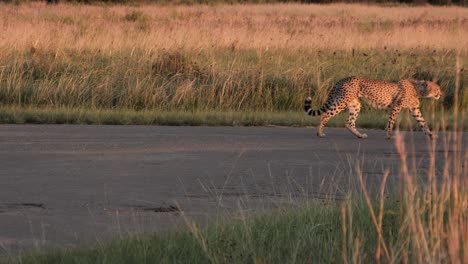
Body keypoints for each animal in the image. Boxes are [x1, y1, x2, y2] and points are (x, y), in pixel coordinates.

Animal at [304, 76, 442, 139]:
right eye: (436, 89)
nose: (440, 94)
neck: (417, 89)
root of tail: (343, 79)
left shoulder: (414, 109)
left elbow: (423, 122)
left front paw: (431, 134)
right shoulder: (396, 107)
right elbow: (391, 122)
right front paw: (389, 135)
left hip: (355, 105)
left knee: (349, 123)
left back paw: (360, 135)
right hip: (341, 102)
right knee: (325, 114)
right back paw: (320, 133)